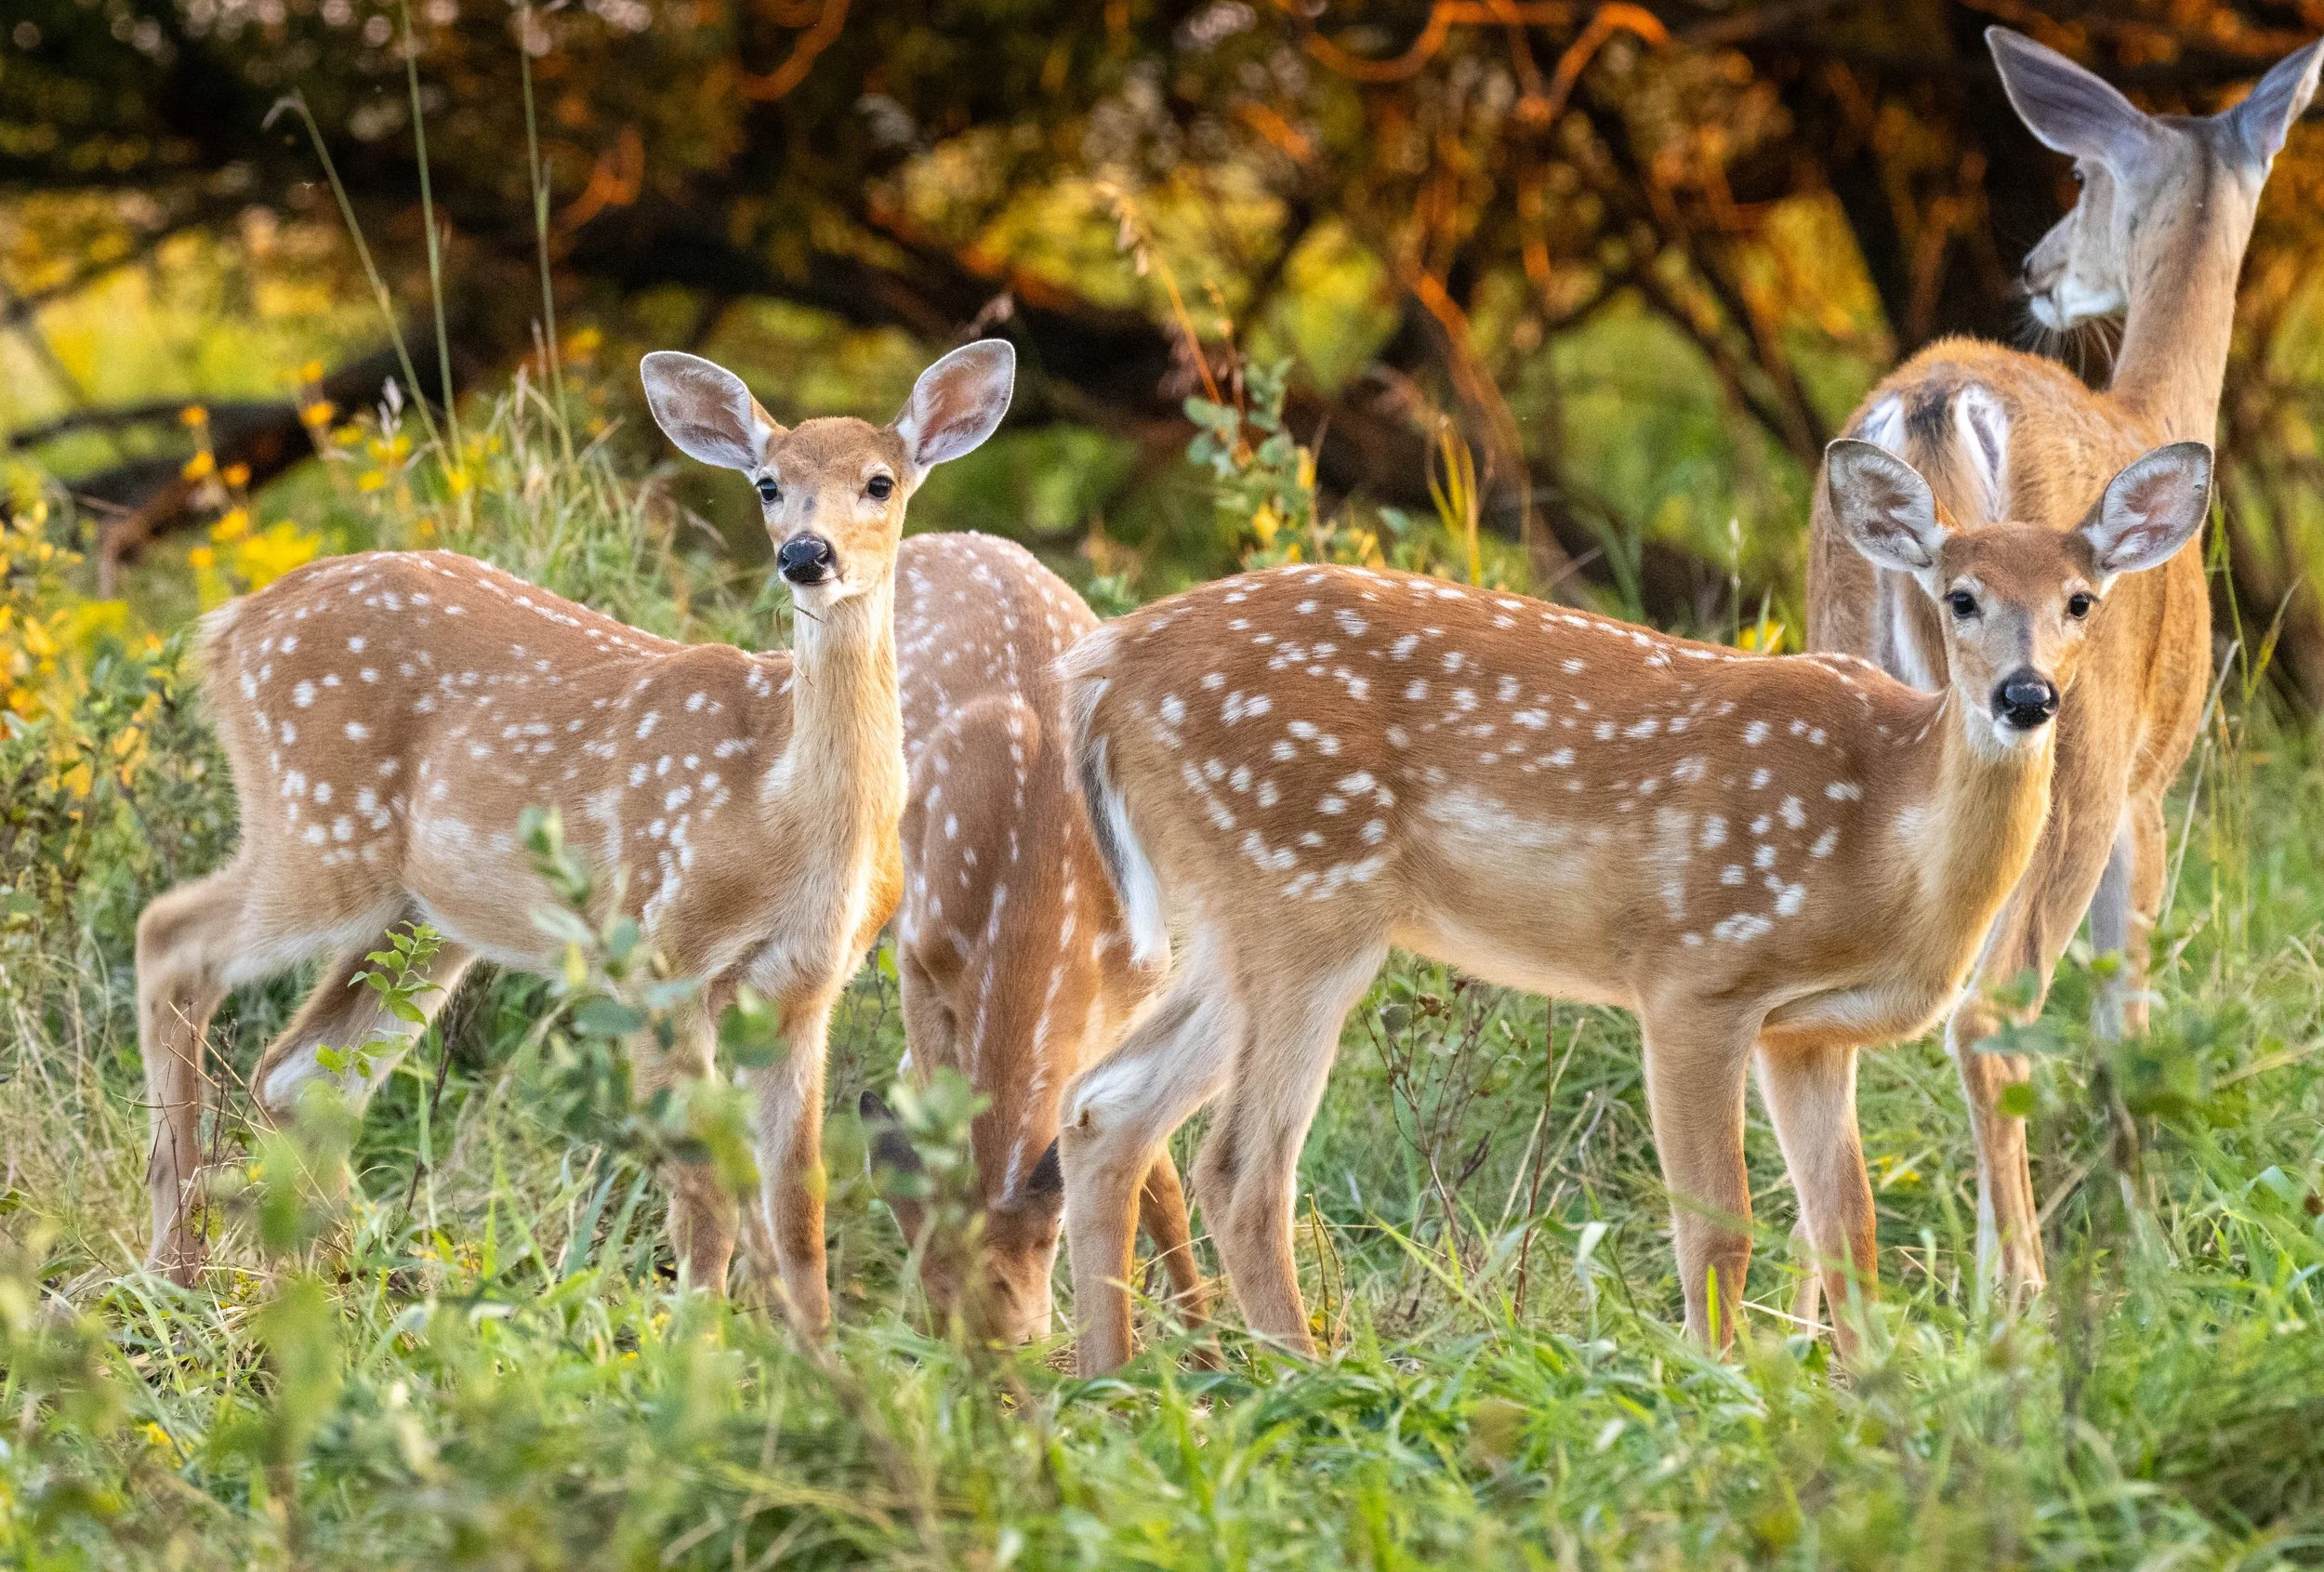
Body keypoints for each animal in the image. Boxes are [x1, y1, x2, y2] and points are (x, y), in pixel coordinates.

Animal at [134, 341, 1017, 1332]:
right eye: (767, 484)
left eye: (880, 481)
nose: (804, 553)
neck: (787, 814)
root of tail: (225, 630)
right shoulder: (664, 948)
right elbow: (704, 1194)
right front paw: (699, 1344)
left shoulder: (803, 985)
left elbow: (799, 1201)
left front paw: (812, 1349)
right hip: (319, 825)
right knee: (171, 936)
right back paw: (180, 1268)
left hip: (422, 913)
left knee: (298, 1073)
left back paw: (348, 1286)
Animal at [856, 530, 1208, 1344]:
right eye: (939, 1319)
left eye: (1025, 1335)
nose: (1021, 1342)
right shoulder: (921, 955)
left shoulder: (1141, 981)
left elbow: (1157, 1173)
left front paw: (1216, 1340)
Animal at [1048, 430, 2212, 1373]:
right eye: (1958, 596)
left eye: (2080, 600)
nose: (2027, 695)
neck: (1887, 843)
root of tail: (1100, 667)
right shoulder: (1696, 970)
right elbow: (1720, 1219)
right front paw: (1720, 1384)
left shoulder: (1808, 1031)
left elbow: (1846, 1223)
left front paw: (1868, 1386)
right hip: (1301, 887)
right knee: (1240, 1164)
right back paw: (1312, 1376)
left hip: (1236, 919)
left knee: (1105, 1106)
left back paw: (1115, 1381)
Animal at [1804, 26, 2320, 1298]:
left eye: (2078, 181)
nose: (2036, 269)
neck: (2155, 409)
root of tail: (1933, 400)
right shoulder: (2146, 788)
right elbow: (2119, 1007)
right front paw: (2143, 1253)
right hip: (2066, 754)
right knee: (1993, 1015)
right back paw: (2023, 1295)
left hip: (1842, 658)